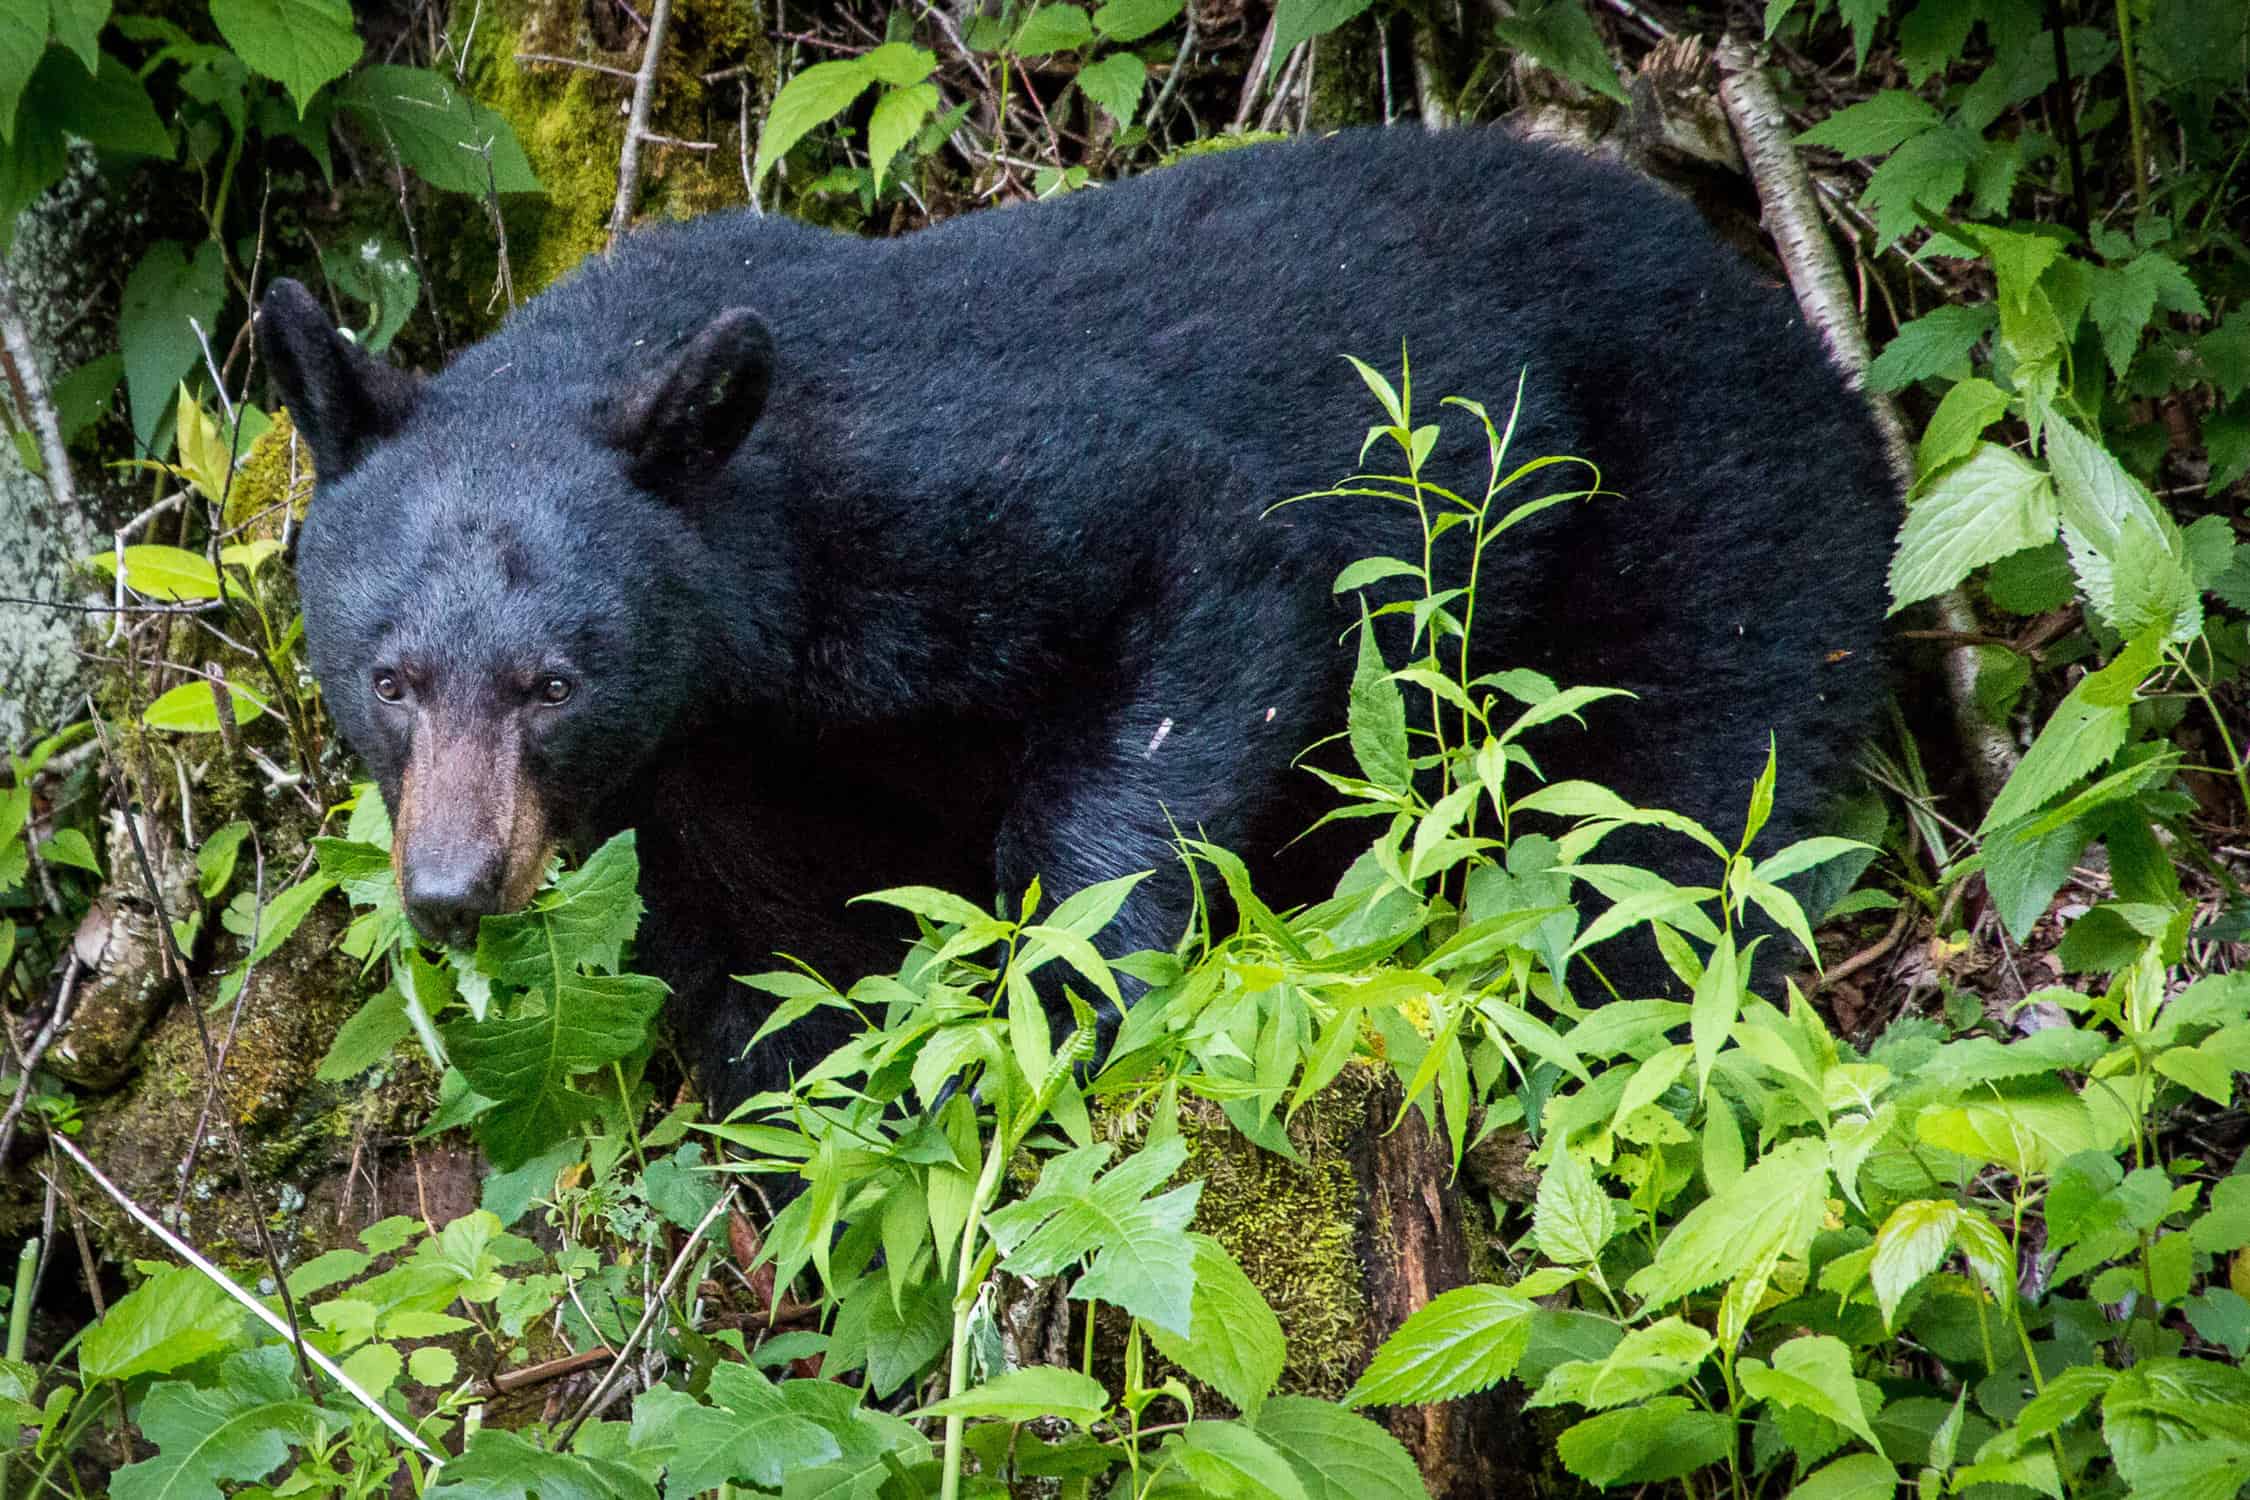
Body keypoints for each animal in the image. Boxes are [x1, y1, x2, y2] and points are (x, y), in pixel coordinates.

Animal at [258, 129, 1899, 1115]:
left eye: (551, 682)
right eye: (390, 678)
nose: (452, 886)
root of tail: (1801, 327)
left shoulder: (926, 505)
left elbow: (1194, 576)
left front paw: (1062, 1007)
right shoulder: (704, 764)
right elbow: (763, 943)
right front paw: (814, 1087)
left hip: (1710, 495)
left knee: (1677, 811)